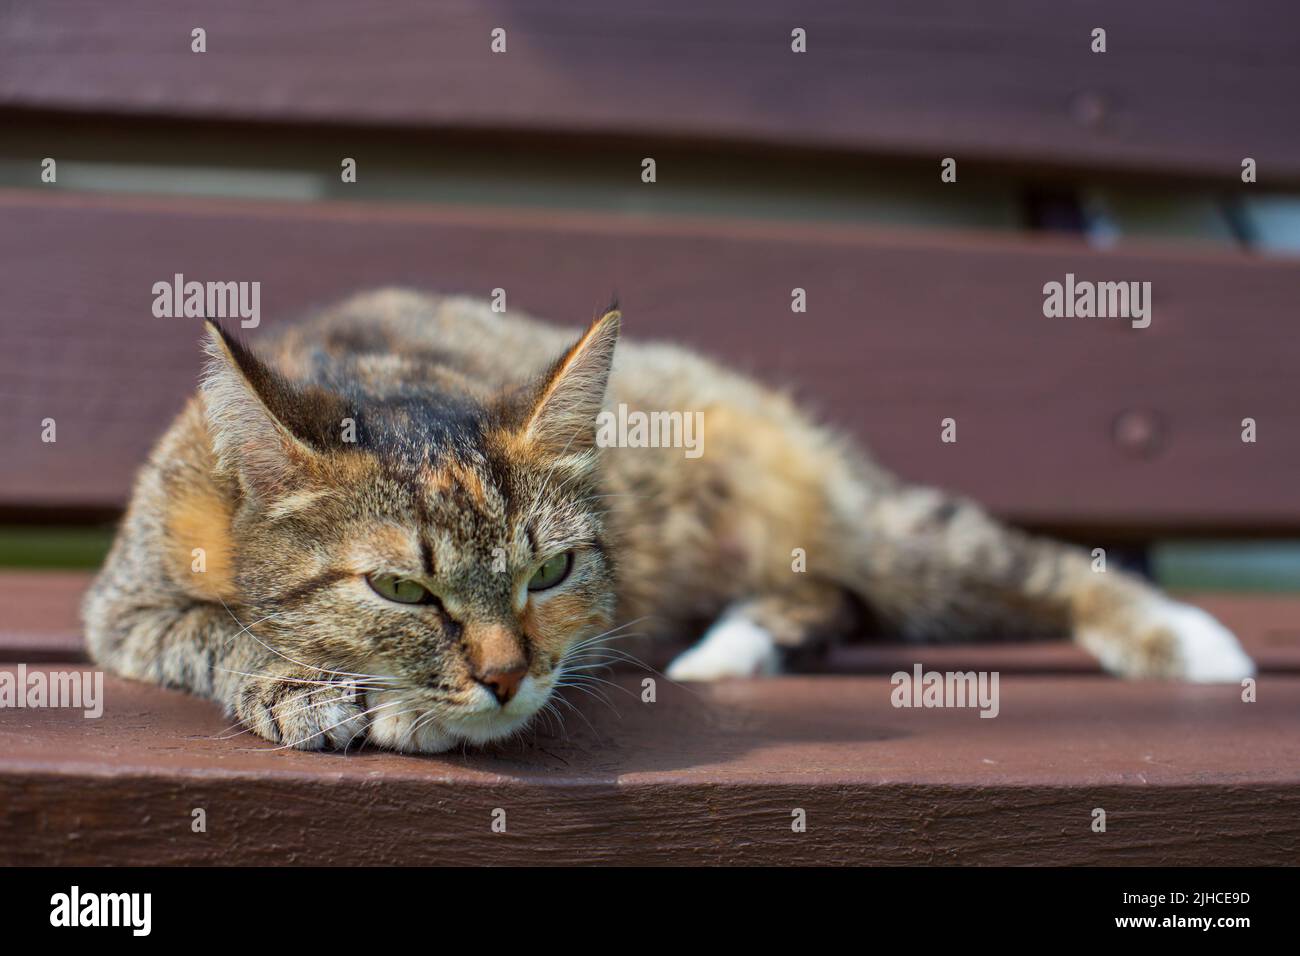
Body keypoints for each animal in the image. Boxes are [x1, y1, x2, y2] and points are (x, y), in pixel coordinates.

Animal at [83, 287, 1258, 749]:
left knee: (1023, 561)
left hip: (875, 524)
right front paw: (300, 677)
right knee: (823, 597)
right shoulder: (122, 607)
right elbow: (207, 627)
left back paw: (1184, 637)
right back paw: (737, 642)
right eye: (400, 587)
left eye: (549, 573)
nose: (505, 675)